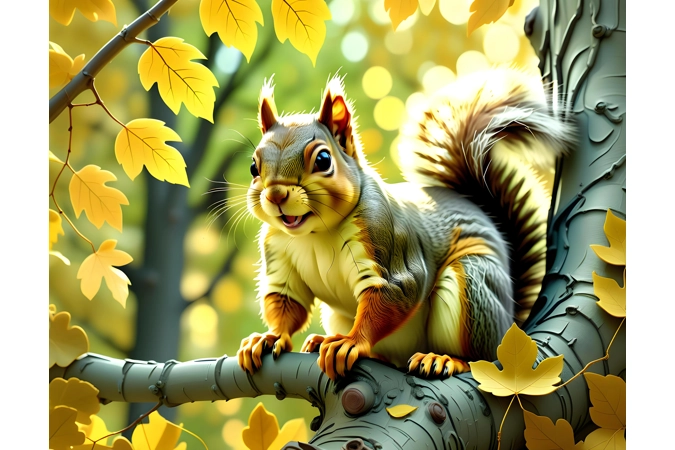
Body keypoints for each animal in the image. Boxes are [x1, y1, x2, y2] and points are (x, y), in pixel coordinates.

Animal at [235, 68, 574, 381]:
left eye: (323, 160)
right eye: (253, 166)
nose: (276, 194)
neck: (314, 233)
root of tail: (511, 322)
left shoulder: (383, 237)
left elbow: (394, 291)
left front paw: (351, 342)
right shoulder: (277, 250)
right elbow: (286, 300)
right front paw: (270, 337)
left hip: (473, 287)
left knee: (481, 357)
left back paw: (444, 359)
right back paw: (329, 341)